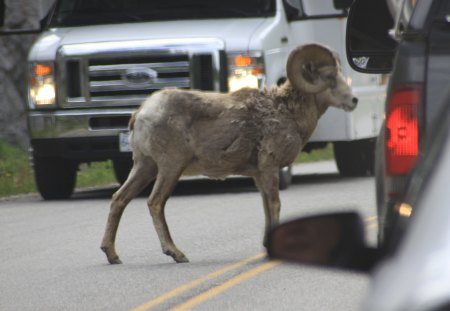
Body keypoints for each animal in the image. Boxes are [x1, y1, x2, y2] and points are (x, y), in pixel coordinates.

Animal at [101, 42, 358, 264]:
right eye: (329, 77)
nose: (354, 101)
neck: (288, 112)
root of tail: (141, 113)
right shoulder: (270, 168)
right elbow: (275, 204)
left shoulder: (259, 174)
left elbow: (266, 207)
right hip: (170, 167)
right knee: (155, 203)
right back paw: (177, 254)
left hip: (145, 166)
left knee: (119, 199)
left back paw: (112, 255)